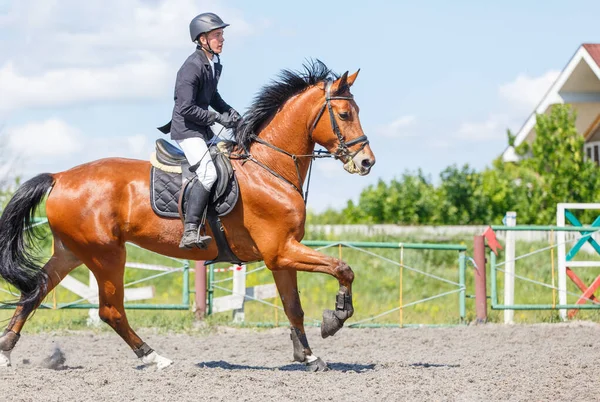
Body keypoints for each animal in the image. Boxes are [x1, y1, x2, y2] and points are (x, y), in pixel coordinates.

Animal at [0, 61, 376, 372]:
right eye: (345, 114)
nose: (367, 162)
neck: (269, 168)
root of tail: (59, 176)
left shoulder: (281, 255)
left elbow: (293, 306)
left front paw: (308, 357)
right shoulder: (281, 250)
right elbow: (342, 268)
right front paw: (336, 318)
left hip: (72, 251)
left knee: (35, 291)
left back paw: (5, 351)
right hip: (106, 255)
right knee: (110, 311)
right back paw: (154, 357)